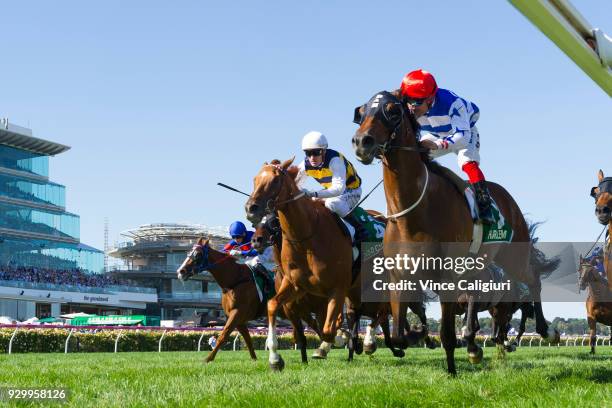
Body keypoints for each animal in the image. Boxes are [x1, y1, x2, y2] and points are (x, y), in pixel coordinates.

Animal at [245, 159, 354, 370]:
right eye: (254, 179)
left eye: (276, 180)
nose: (251, 208)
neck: (307, 237)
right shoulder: (295, 289)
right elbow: (273, 305)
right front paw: (275, 358)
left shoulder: (337, 288)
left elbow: (327, 330)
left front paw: (337, 340)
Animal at [354, 91, 560, 374]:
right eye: (361, 111)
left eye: (393, 111)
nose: (362, 142)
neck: (412, 214)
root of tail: (508, 198)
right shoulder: (399, 276)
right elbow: (397, 334)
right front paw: (414, 335)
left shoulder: (447, 276)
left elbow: (447, 334)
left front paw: (451, 369)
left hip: (514, 257)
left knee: (534, 279)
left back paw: (546, 330)